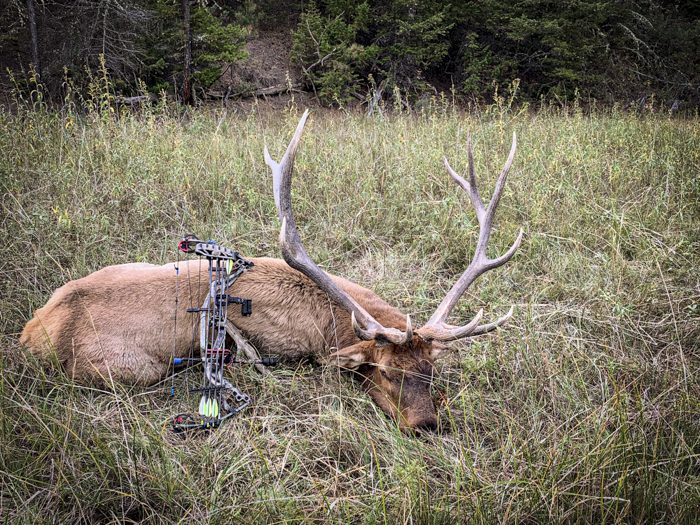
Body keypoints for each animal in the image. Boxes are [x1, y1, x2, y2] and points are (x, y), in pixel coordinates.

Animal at [20, 110, 522, 432]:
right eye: (385, 374)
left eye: (430, 372)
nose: (426, 425)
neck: (327, 324)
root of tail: (30, 334)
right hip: (133, 369)